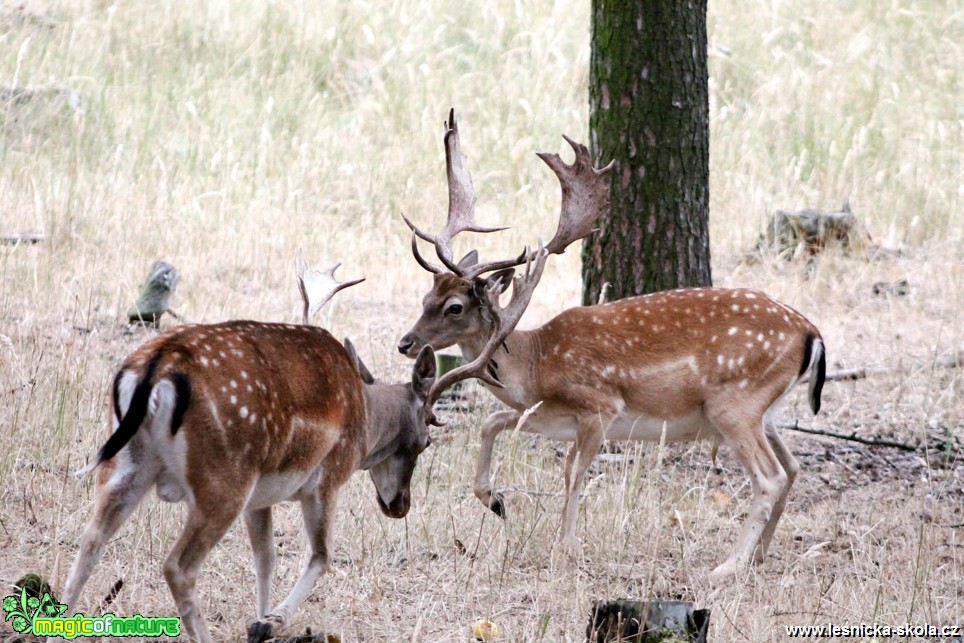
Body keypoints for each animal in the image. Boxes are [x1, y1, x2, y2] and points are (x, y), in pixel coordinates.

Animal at [58, 258, 438, 643]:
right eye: (427, 440)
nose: (399, 505)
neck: (365, 415)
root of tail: (156, 369)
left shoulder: (261, 496)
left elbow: (265, 557)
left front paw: (259, 624)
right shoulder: (327, 477)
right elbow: (321, 555)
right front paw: (270, 621)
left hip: (126, 465)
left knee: (91, 541)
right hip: (224, 477)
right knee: (177, 566)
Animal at [396, 109, 824, 580]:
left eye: (454, 307)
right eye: (426, 296)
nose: (405, 342)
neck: (535, 365)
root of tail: (811, 333)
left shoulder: (599, 404)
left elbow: (572, 471)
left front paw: (563, 549)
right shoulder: (545, 415)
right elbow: (491, 421)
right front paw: (495, 502)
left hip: (735, 403)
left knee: (770, 477)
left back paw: (727, 566)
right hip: (766, 410)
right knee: (793, 467)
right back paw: (760, 555)